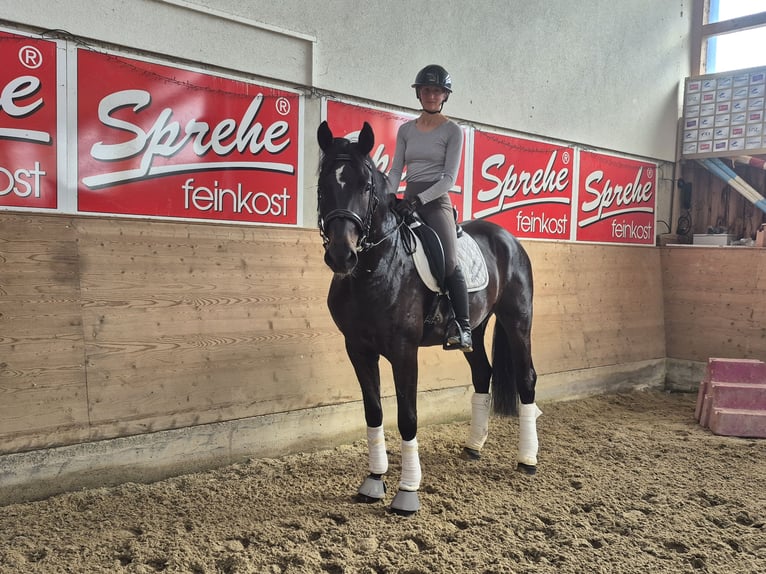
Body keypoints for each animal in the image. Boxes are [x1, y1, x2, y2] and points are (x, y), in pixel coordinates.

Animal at [316, 120, 541, 515]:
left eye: (366, 186)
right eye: (323, 184)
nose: (342, 255)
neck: (374, 268)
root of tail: (507, 237)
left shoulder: (404, 351)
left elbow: (407, 417)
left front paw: (407, 492)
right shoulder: (358, 349)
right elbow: (373, 412)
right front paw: (373, 481)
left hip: (517, 319)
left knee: (526, 378)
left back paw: (527, 460)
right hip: (475, 329)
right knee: (483, 373)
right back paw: (473, 447)